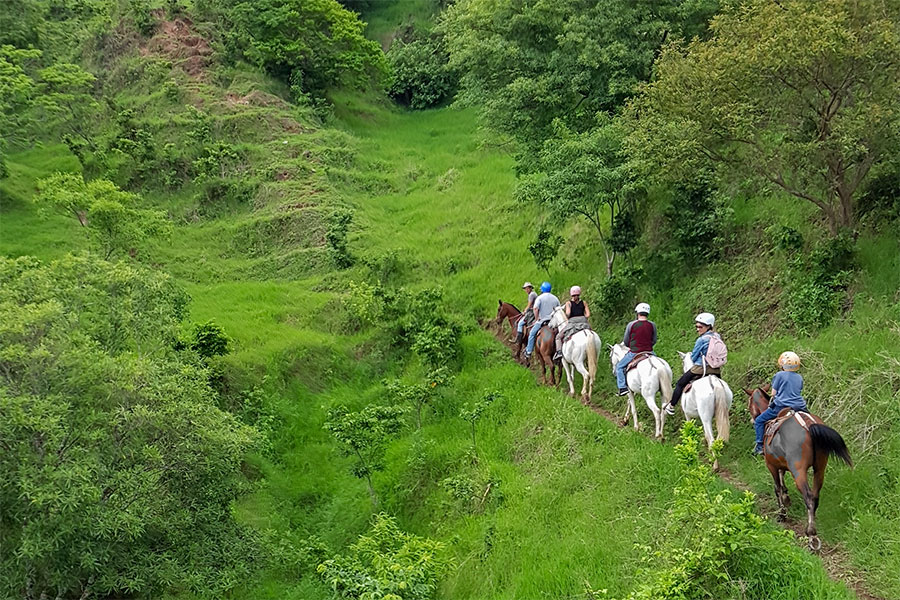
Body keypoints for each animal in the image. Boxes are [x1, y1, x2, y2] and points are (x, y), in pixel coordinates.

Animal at [744, 386, 852, 552]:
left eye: (749, 402)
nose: (751, 419)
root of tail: (808, 425)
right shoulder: (781, 463)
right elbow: (782, 480)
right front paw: (787, 498)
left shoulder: (771, 465)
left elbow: (777, 488)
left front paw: (782, 513)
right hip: (820, 469)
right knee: (815, 496)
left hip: (798, 471)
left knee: (808, 496)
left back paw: (811, 535)